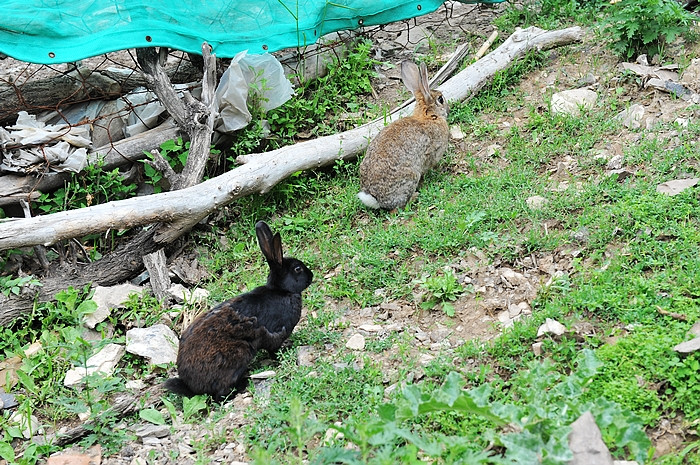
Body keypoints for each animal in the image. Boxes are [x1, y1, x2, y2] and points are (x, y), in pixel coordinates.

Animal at [164, 221, 312, 398]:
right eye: (298, 269)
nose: (311, 276)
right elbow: (273, 349)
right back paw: (244, 383)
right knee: (221, 393)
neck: (282, 291)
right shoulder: (275, 335)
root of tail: (192, 387)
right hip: (239, 354)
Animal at [358, 60, 452, 209]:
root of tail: (374, 198)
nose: (448, 109)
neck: (427, 117)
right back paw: (415, 196)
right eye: (440, 99)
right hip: (411, 177)